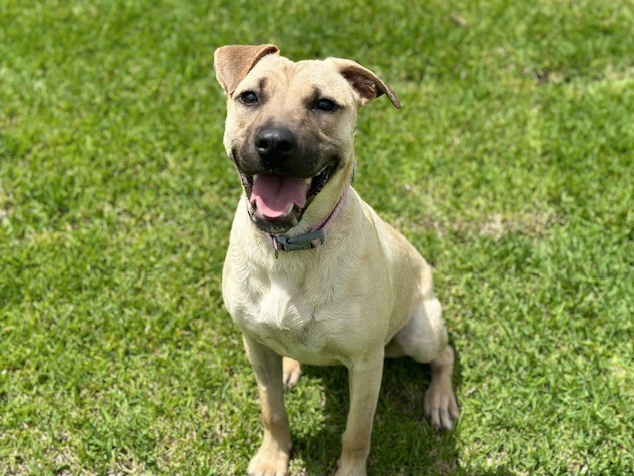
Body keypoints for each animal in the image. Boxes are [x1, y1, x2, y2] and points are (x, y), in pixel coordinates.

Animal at [215, 42, 456, 474]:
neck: (292, 248)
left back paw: (441, 400)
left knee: (445, 354)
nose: (273, 143)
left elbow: (356, 433)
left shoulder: (366, 363)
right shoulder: (254, 345)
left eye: (325, 104)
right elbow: (271, 410)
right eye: (250, 97)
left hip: (420, 333)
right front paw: (273, 457)